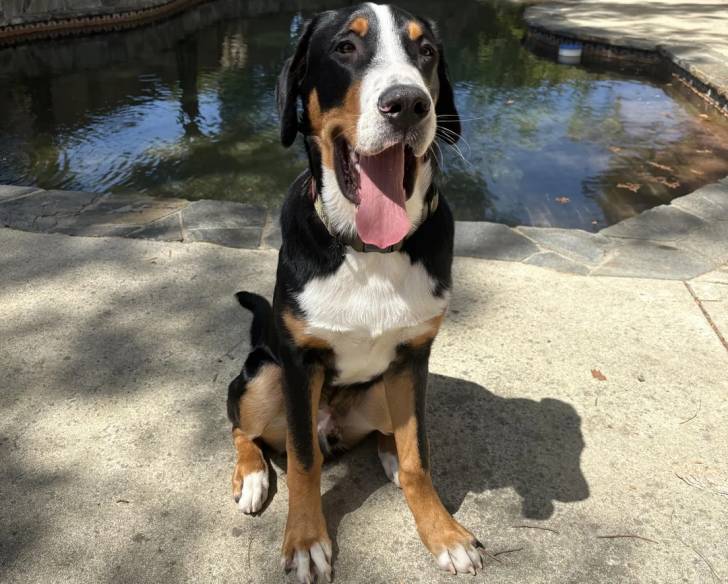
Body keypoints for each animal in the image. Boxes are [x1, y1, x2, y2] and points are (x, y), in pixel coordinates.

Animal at [227, 4, 483, 582]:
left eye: (425, 51)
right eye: (346, 47)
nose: (409, 104)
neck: (370, 251)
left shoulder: (413, 357)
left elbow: (418, 457)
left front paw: (442, 532)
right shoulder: (300, 364)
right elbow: (303, 461)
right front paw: (304, 540)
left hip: (382, 390)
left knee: (391, 437)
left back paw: (385, 452)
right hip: (264, 374)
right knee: (242, 426)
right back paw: (251, 474)